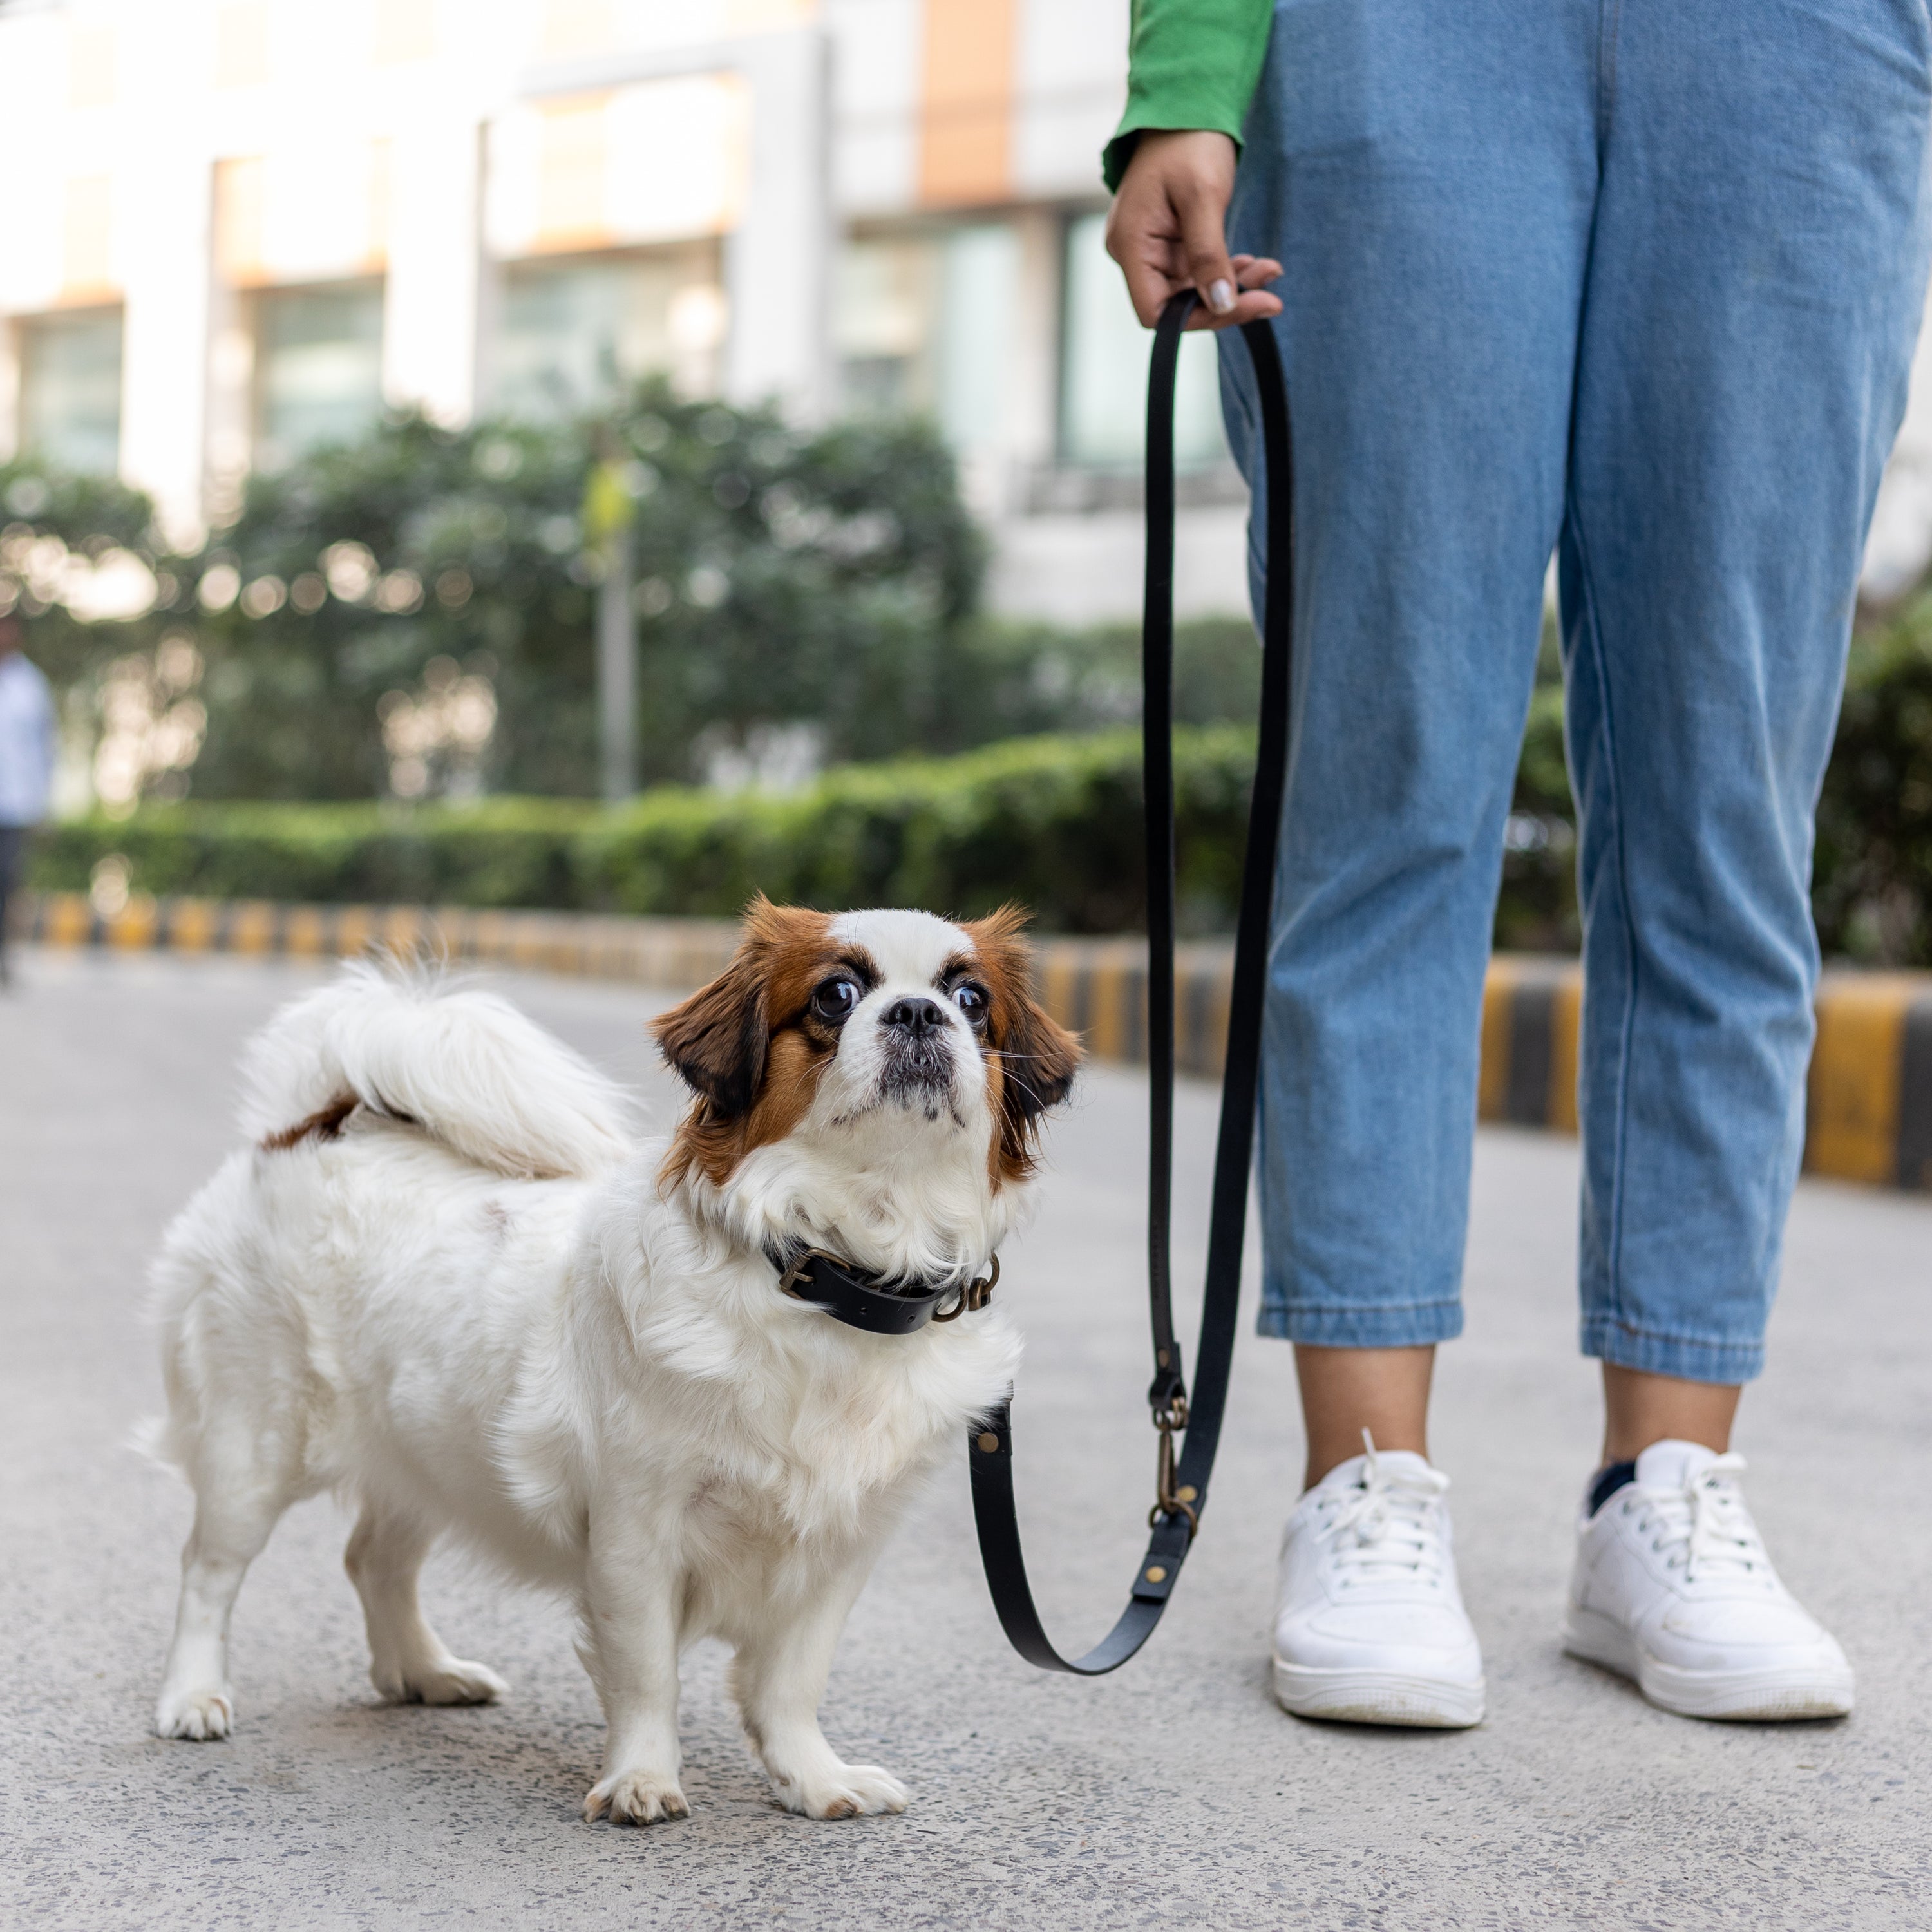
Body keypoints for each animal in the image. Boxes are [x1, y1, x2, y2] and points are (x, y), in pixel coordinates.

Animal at [147, 896, 1090, 1816]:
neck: (826, 1277)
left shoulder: (838, 1549)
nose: (919, 1012)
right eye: (835, 996)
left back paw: (421, 1672)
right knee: (208, 1570)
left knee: (375, 1557)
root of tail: (320, 1129)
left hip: (427, 1450)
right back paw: (193, 1697)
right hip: (252, 1448)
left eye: (971, 1001)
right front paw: (642, 1781)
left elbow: (792, 1681)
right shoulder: (638, 1531)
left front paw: (813, 1780)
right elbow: (647, 1675)